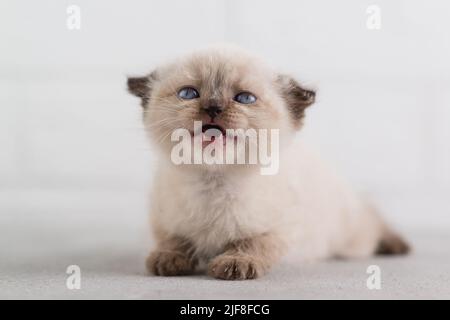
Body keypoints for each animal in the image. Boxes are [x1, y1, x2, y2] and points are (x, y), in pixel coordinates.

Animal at [126, 45, 408, 280]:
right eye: (188, 93)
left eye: (244, 98)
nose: (213, 108)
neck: (213, 180)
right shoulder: (163, 219)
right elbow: (173, 240)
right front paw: (168, 258)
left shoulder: (281, 228)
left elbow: (255, 242)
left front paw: (237, 262)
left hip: (352, 238)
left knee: (372, 219)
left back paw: (396, 244)